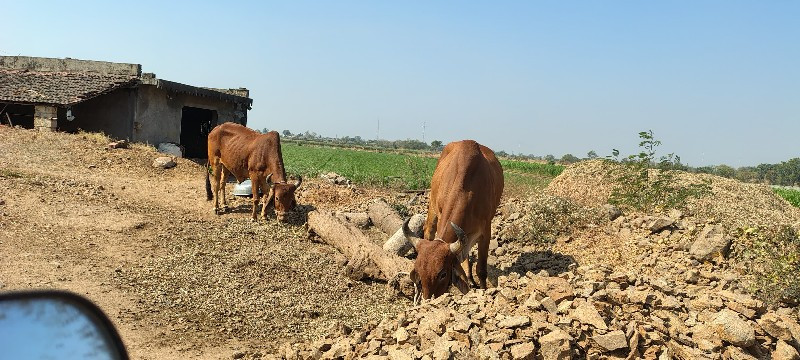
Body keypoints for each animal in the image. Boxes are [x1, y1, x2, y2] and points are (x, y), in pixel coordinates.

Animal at [404, 139, 504, 300]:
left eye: (443, 274)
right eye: (419, 271)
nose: (428, 298)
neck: (467, 189)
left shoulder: (486, 231)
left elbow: (481, 270)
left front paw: (483, 291)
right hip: (432, 206)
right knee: (428, 230)